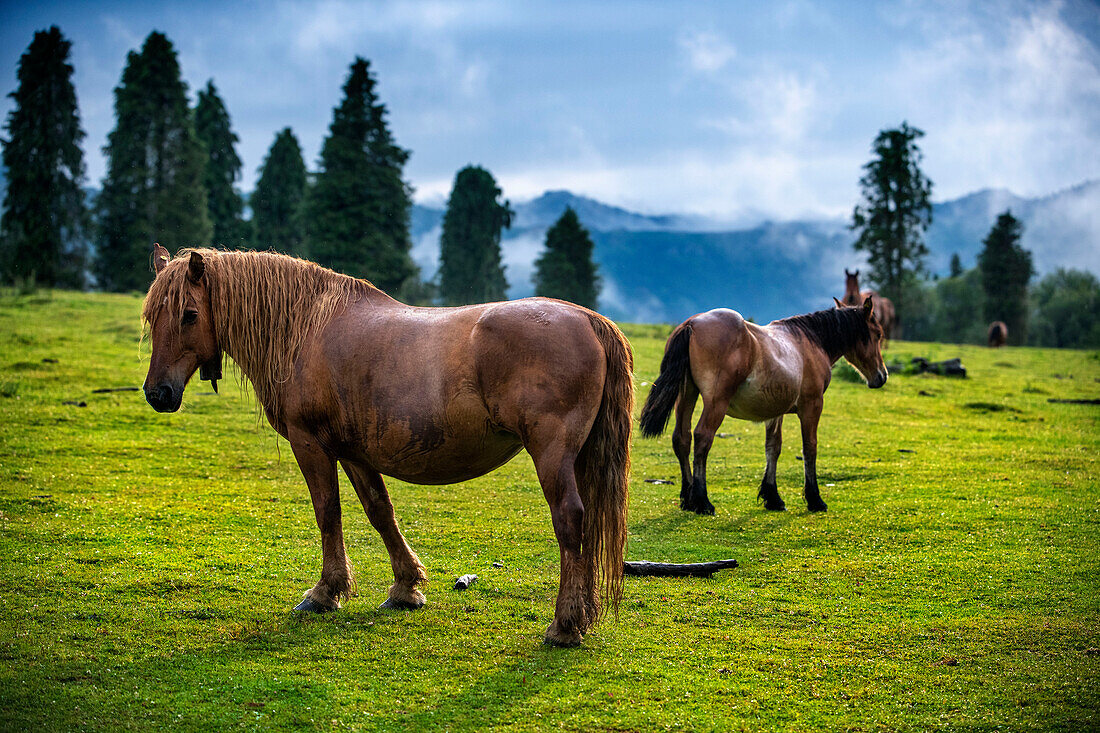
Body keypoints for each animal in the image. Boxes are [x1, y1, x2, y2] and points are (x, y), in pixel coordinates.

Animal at [141, 245, 633, 647]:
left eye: (188, 314)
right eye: (152, 317)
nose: (157, 393)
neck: (306, 329)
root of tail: (588, 319)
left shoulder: (311, 444)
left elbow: (328, 513)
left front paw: (325, 592)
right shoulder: (354, 453)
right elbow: (380, 512)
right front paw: (405, 587)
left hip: (552, 454)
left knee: (569, 520)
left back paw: (565, 625)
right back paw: (583, 614)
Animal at [638, 297, 884, 512]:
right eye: (878, 334)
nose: (882, 376)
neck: (809, 343)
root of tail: (692, 324)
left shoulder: (775, 412)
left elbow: (773, 448)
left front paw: (773, 497)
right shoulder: (812, 406)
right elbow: (810, 448)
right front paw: (814, 499)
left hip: (687, 396)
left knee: (682, 438)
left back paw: (688, 499)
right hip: (715, 402)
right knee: (702, 437)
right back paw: (702, 501)